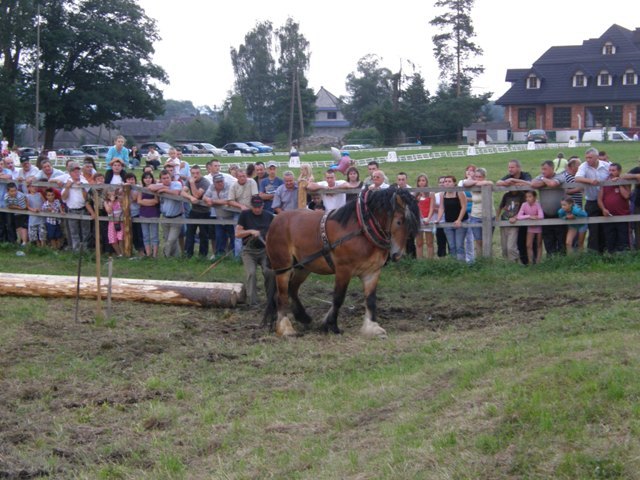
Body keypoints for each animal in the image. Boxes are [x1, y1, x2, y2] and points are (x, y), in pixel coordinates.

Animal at [262, 188, 418, 338]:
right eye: (399, 222)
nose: (397, 255)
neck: (363, 230)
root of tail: (276, 219)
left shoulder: (372, 272)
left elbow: (371, 299)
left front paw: (372, 327)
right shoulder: (344, 270)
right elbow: (338, 298)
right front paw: (331, 325)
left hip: (303, 267)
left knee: (292, 289)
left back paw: (303, 317)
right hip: (283, 266)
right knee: (282, 296)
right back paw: (286, 328)